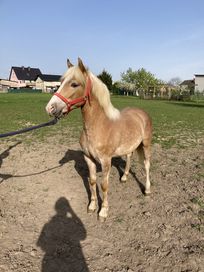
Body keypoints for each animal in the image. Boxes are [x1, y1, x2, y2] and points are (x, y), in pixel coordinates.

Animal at [45, 58, 151, 221]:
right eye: (61, 82)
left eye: (74, 84)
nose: (50, 108)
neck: (100, 125)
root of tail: (141, 113)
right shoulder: (89, 158)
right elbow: (92, 182)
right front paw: (92, 206)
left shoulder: (106, 161)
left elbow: (104, 186)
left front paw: (103, 212)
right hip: (130, 146)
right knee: (128, 157)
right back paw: (124, 177)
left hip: (145, 145)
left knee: (146, 165)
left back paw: (147, 190)